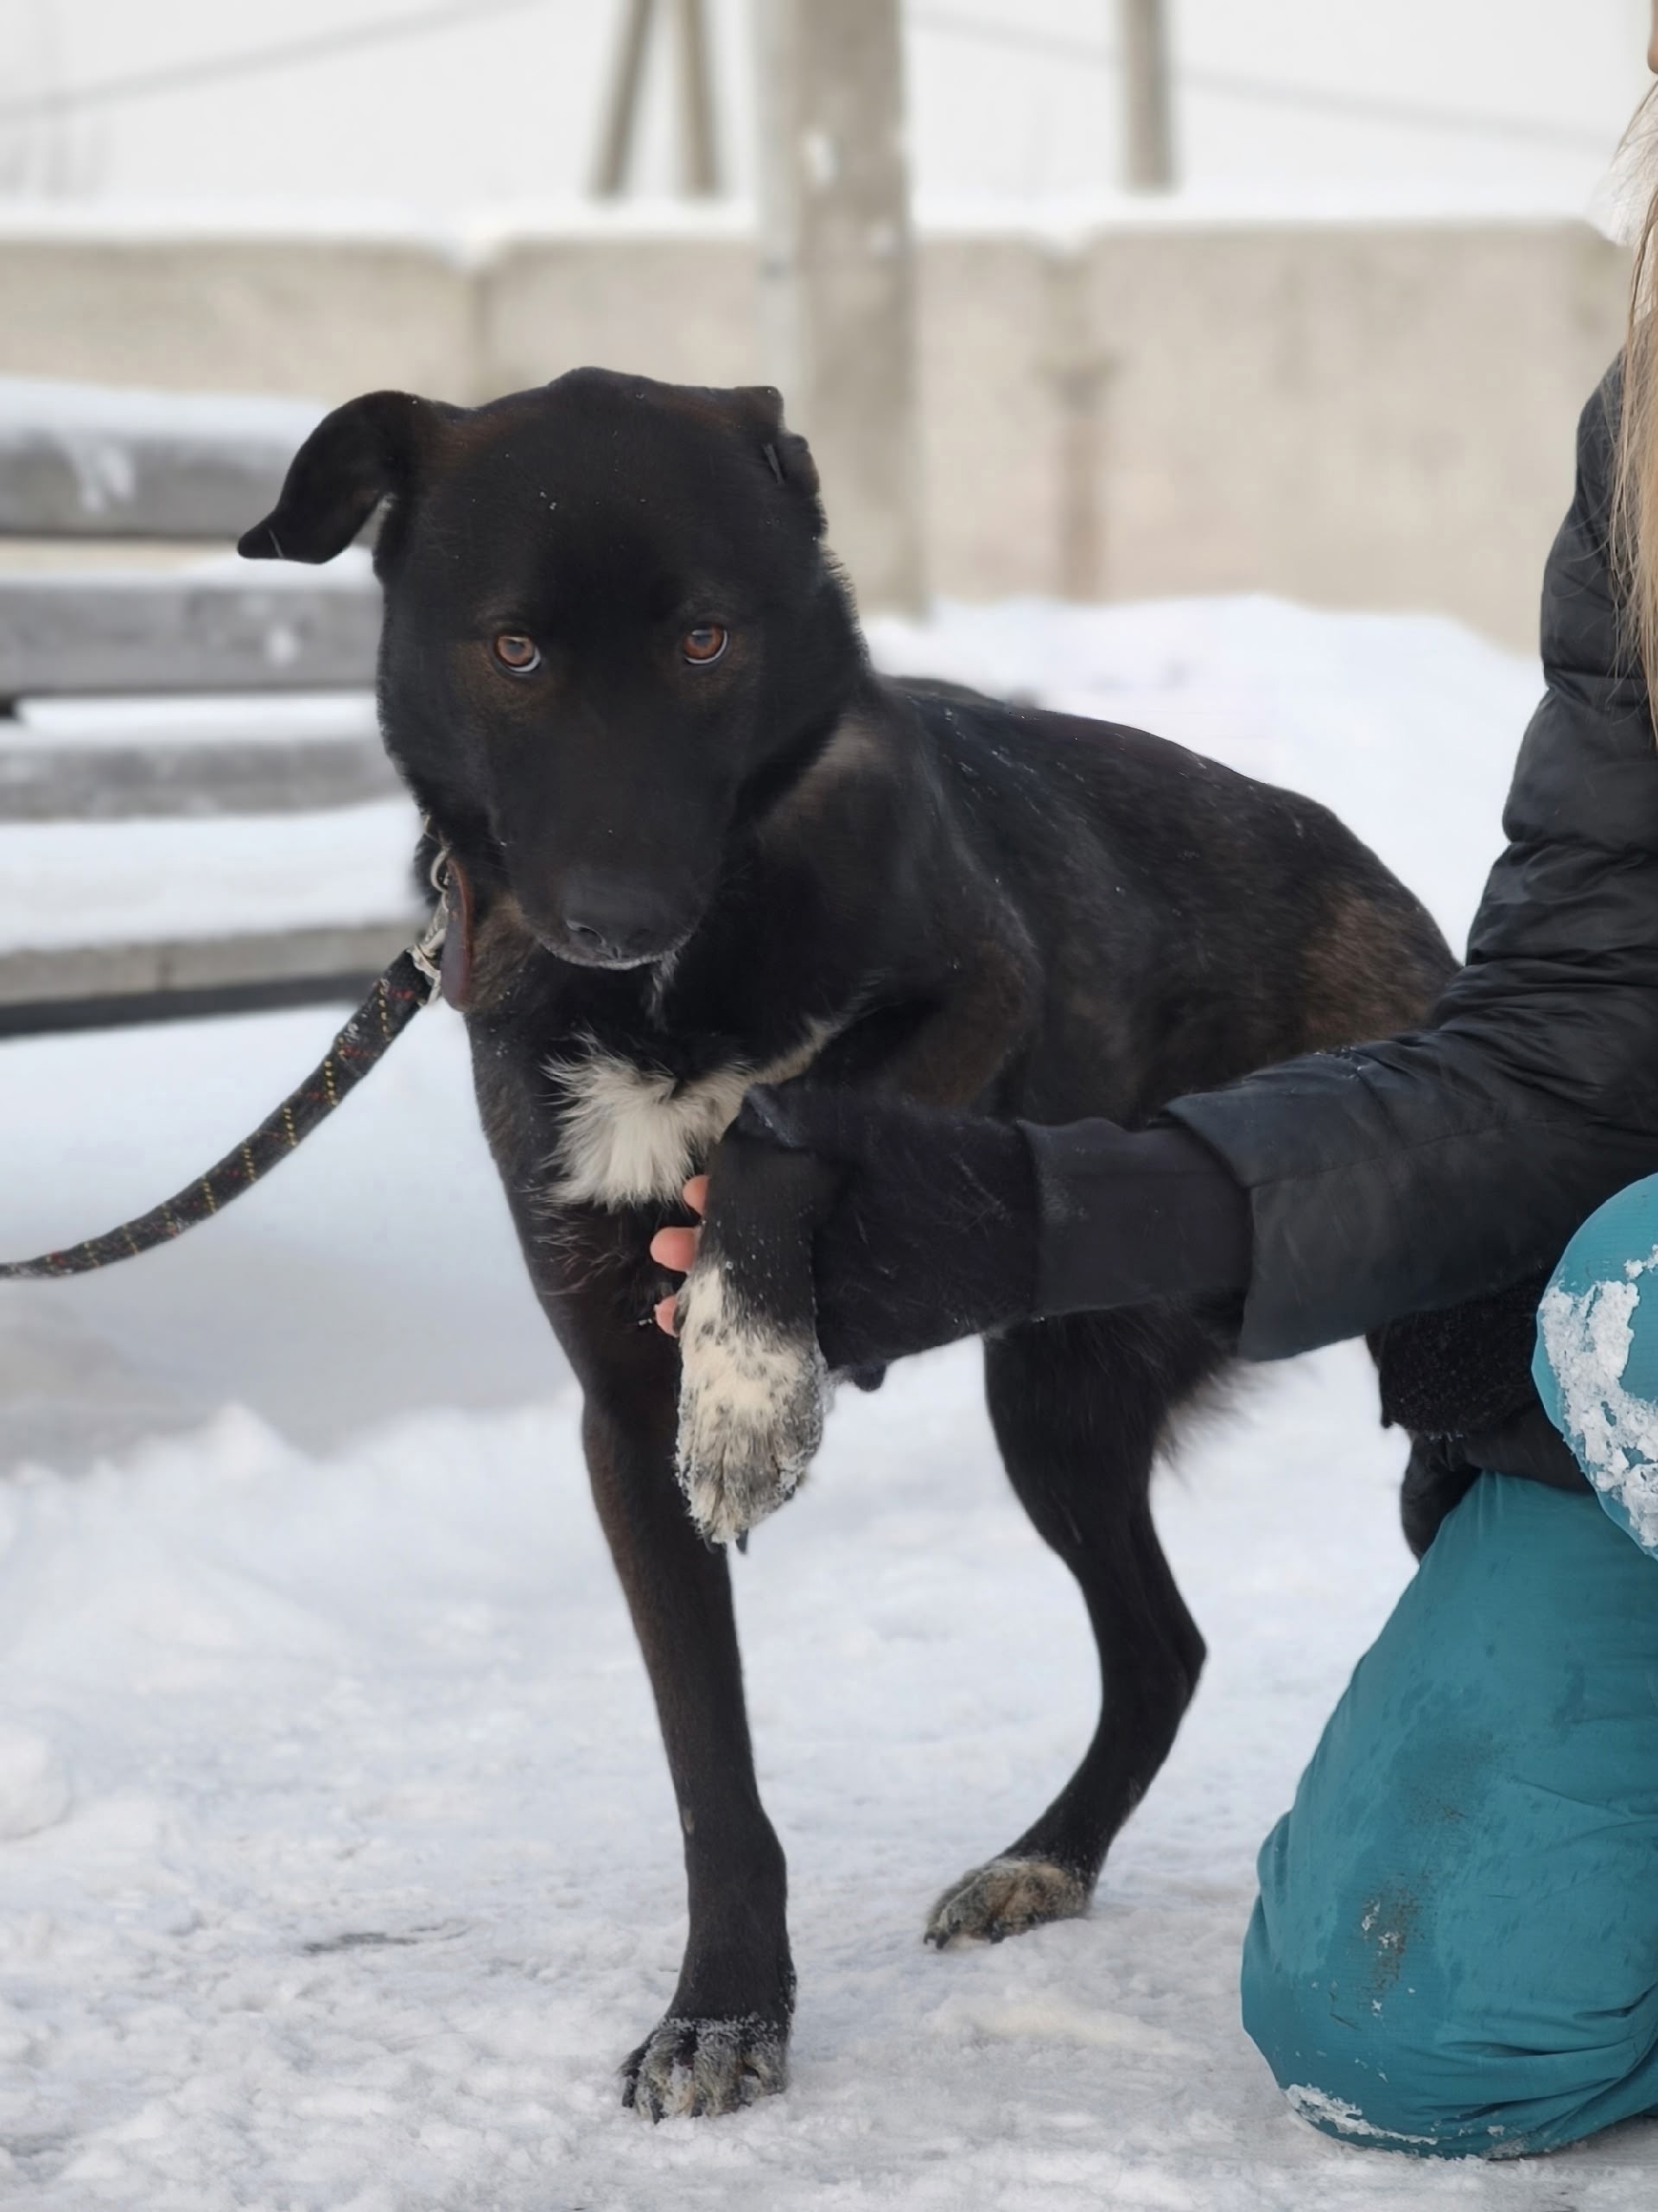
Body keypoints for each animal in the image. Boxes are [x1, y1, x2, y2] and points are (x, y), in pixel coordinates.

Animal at [241, 368, 1454, 2119]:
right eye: (515, 650)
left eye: (704, 640)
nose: (614, 913)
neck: (667, 994)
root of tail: (1383, 889)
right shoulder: (616, 1416)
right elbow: (709, 1775)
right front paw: (725, 2014)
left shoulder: (975, 993)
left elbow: (776, 1119)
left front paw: (751, 1388)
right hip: (1058, 1406)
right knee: (1160, 1647)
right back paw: (1042, 1861)